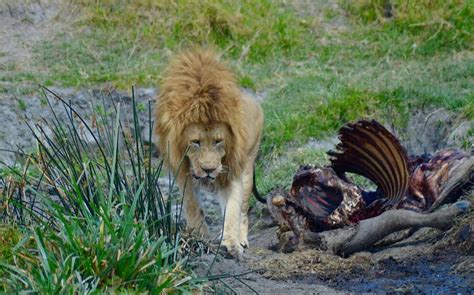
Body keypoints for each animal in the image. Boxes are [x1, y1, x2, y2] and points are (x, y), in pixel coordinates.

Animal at [154, 49, 264, 258]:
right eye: (195, 142)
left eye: (219, 141)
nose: (209, 169)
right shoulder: (182, 172)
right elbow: (193, 206)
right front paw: (199, 237)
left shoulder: (232, 170)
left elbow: (232, 209)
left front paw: (231, 243)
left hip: (248, 167)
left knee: (243, 210)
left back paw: (240, 238)